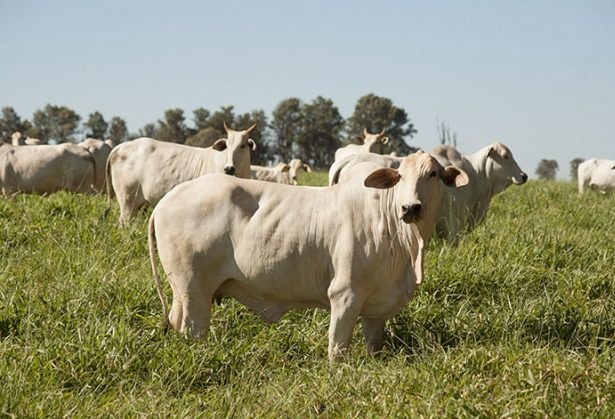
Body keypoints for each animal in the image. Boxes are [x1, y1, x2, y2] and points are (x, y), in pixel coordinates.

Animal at [148, 151, 466, 360]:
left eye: (433, 174)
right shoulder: (345, 294)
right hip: (193, 290)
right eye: (399, 177)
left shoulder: (376, 308)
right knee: (192, 329)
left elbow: (374, 345)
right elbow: (337, 348)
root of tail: (168, 199)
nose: (410, 207)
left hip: (183, 293)